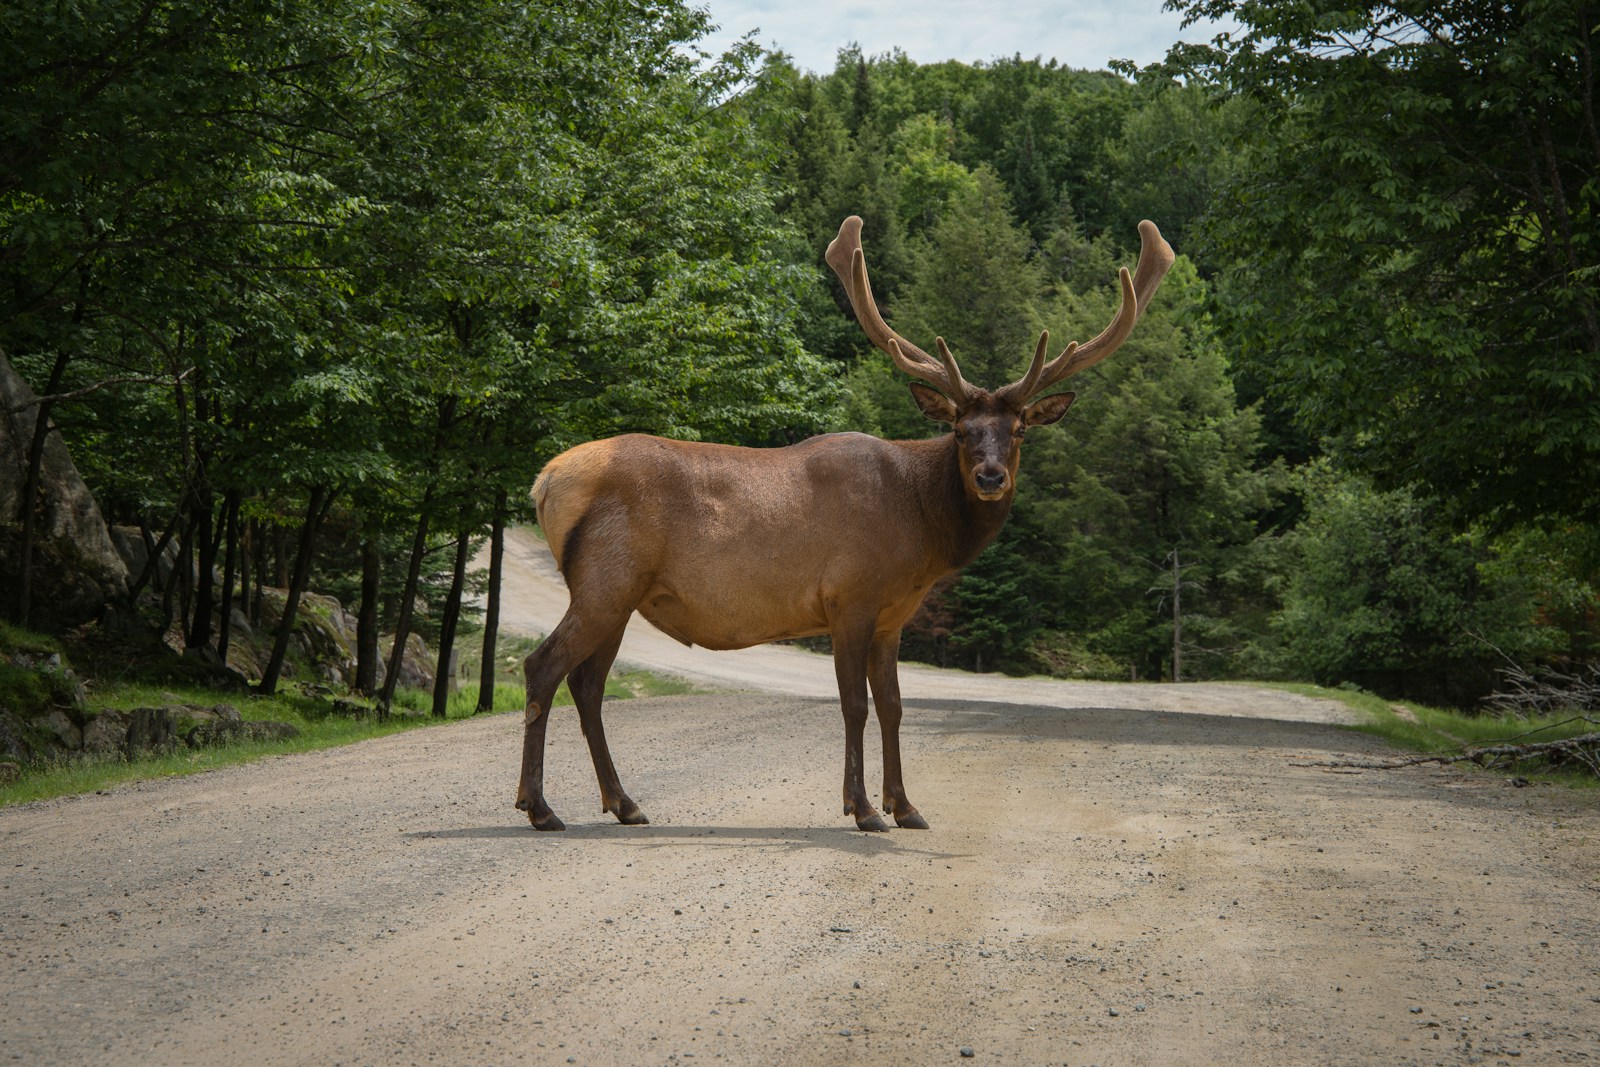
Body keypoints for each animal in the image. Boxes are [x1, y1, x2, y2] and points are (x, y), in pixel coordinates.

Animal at [516, 214, 1174, 832]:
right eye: (961, 429)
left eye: (1017, 432)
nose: (990, 477)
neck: (922, 533)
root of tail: (545, 481)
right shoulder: (848, 596)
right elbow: (854, 704)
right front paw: (863, 809)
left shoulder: (893, 616)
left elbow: (894, 705)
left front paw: (907, 805)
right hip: (606, 579)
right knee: (543, 666)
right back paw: (539, 806)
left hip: (621, 593)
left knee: (588, 684)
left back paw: (623, 803)